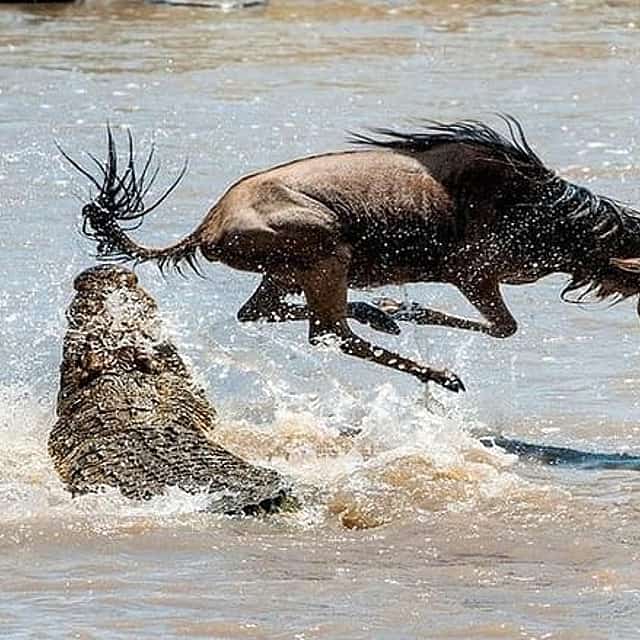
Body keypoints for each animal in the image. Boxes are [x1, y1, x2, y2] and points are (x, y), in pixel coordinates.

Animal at [61, 117, 640, 392]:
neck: (559, 218)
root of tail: (207, 226)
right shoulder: (471, 271)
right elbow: (503, 327)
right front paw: (403, 310)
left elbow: (502, 328)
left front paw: (396, 309)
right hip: (327, 247)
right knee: (329, 333)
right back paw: (433, 368)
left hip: (290, 270)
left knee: (265, 314)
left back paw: (377, 316)